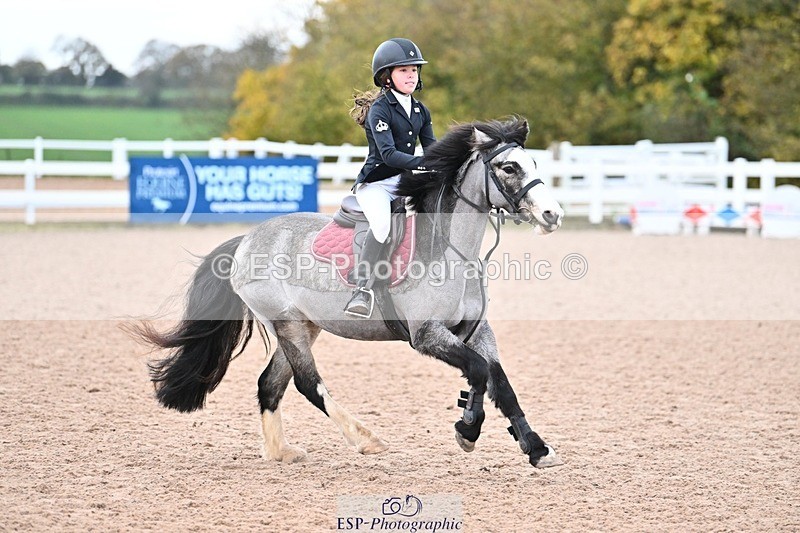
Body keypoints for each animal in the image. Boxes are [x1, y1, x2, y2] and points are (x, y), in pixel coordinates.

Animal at [130, 117, 565, 468]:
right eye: (508, 167)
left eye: (534, 164)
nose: (552, 215)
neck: (449, 248)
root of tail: (246, 240)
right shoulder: (426, 335)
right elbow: (476, 370)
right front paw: (468, 429)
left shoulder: (476, 331)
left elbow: (498, 382)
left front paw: (536, 449)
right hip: (287, 324)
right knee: (308, 384)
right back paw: (366, 439)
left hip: (304, 326)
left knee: (271, 383)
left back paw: (281, 452)